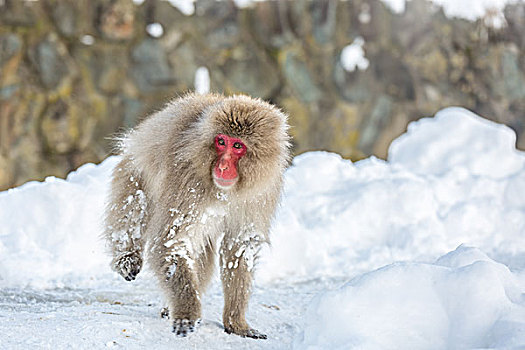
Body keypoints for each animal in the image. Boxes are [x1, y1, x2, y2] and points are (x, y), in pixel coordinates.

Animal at [104, 93, 288, 340]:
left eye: (237, 145)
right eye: (221, 141)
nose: (223, 165)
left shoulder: (262, 192)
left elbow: (239, 247)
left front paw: (236, 323)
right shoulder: (187, 179)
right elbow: (170, 242)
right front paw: (187, 311)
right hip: (132, 173)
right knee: (133, 208)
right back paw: (127, 258)